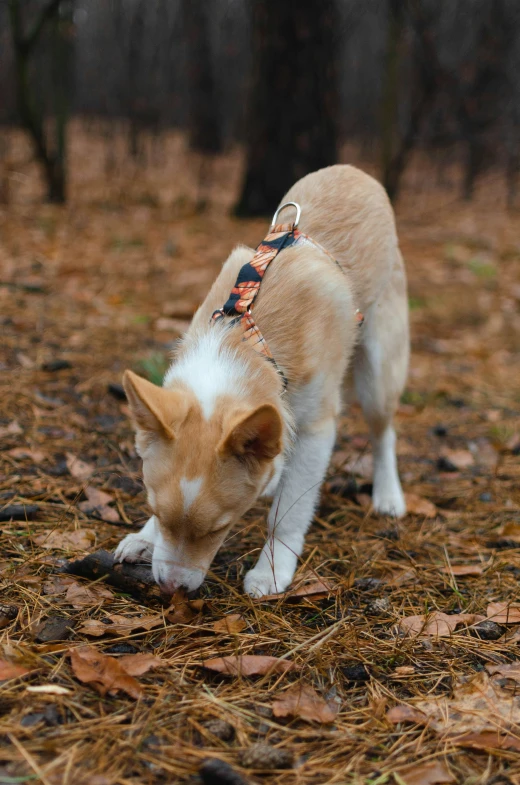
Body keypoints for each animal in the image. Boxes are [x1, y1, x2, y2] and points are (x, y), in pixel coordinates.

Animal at [115, 164, 410, 596]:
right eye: (152, 508)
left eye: (218, 528)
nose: (172, 589)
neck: (245, 338)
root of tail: (355, 171)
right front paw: (145, 536)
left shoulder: (317, 429)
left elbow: (287, 514)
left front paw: (272, 570)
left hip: (378, 373)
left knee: (384, 432)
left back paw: (388, 495)